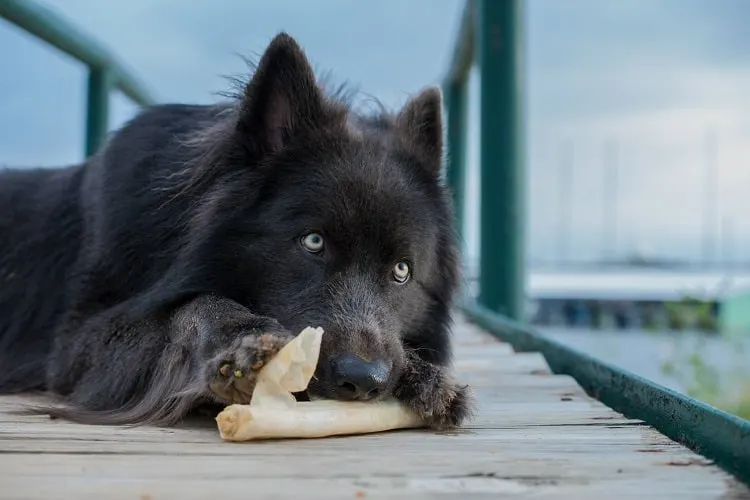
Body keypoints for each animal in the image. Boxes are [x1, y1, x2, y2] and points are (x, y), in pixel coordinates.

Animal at [0, 32, 476, 430]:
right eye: (313, 242)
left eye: (401, 271)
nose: (363, 380)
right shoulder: (77, 344)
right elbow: (186, 307)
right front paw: (240, 341)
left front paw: (425, 377)